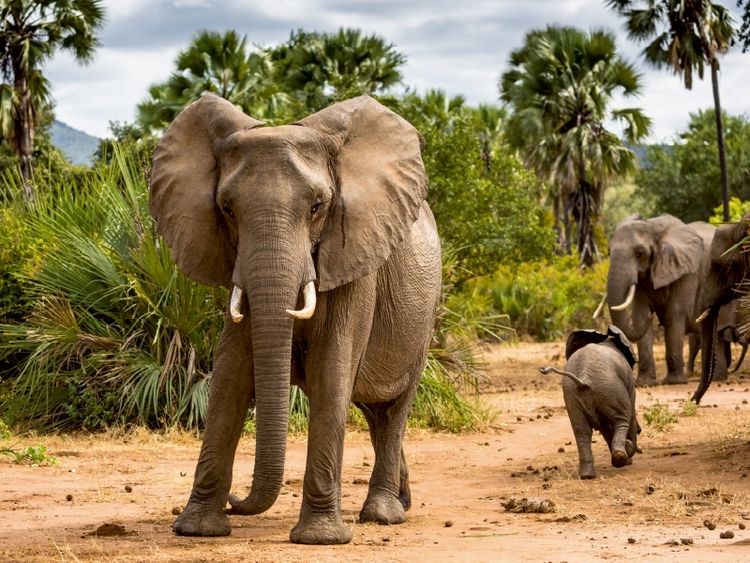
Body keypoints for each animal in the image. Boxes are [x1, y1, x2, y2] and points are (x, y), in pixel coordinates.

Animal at [148, 93, 442, 544]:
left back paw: (383, 514)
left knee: (394, 409)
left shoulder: (354, 257)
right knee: (373, 412)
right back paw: (400, 502)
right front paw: (196, 530)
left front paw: (319, 539)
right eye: (226, 209)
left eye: (318, 207)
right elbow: (231, 373)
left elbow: (331, 370)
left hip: (425, 317)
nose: (236, 500)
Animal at [539, 326, 640, 479]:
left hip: (573, 395)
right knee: (622, 420)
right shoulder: (628, 382)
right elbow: (631, 411)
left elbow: (603, 427)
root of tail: (583, 379)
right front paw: (628, 457)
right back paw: (621, 457)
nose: (640, 430)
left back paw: (587, 475)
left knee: (581, 431)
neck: (606, 338)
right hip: (610, 388)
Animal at [600, 215, 714, 386]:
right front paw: (645, 383)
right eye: (609, 251)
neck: (653, 227)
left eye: (639, 253)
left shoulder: (688, 271)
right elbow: (640, 316)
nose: (652, 316)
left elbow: (675, 313)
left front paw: (675, 382)